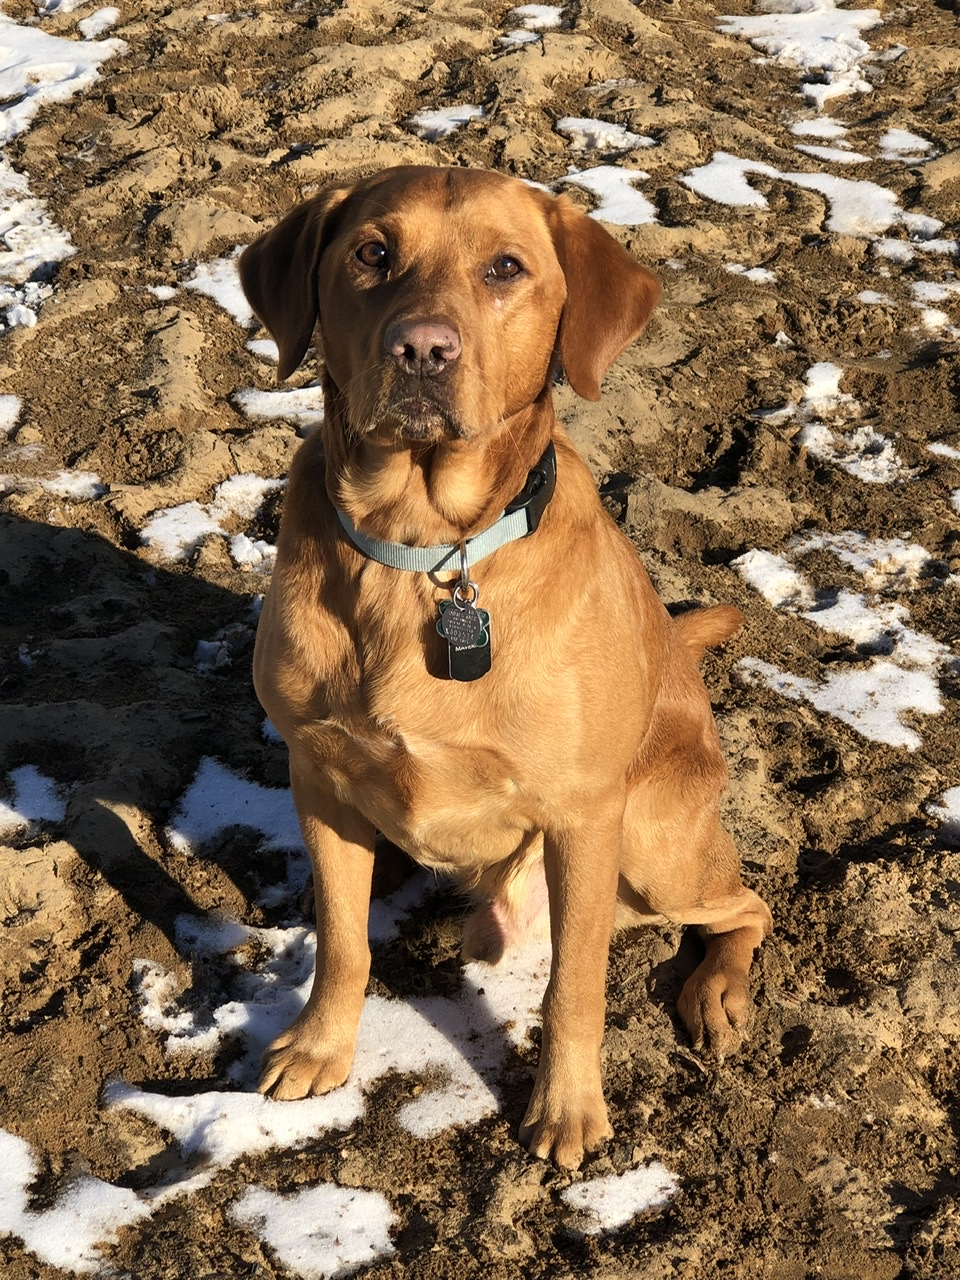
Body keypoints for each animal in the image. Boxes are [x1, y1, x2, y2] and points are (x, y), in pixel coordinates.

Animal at [240, 167, 773, 1172]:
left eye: (505, 269)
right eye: (372, 252)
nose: (421, 349)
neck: (421, 552)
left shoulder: (583, 818)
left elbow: (576, 988)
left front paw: (567, 1109)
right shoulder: (317, 777)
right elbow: (343, 942)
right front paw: (323, 1047)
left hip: (653, 841)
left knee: (744, 905)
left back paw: (717, 992)